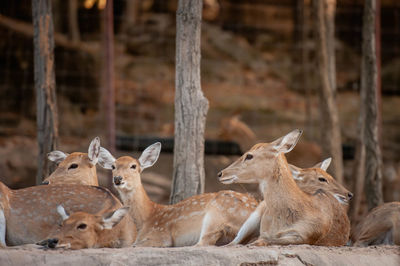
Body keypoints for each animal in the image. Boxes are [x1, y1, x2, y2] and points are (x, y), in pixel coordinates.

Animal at [97, 143, 260, 247]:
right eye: (113, 166)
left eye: (133, 166)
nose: (117, 179)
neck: (146, 218)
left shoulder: (161, 235)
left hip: (216, 213)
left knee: (203, 244)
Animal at [217, 130, 348, 246]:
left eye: (249, 156)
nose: (221, 174)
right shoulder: (263, 230)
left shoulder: (305, 237)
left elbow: (263, 241)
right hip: (253, 218)